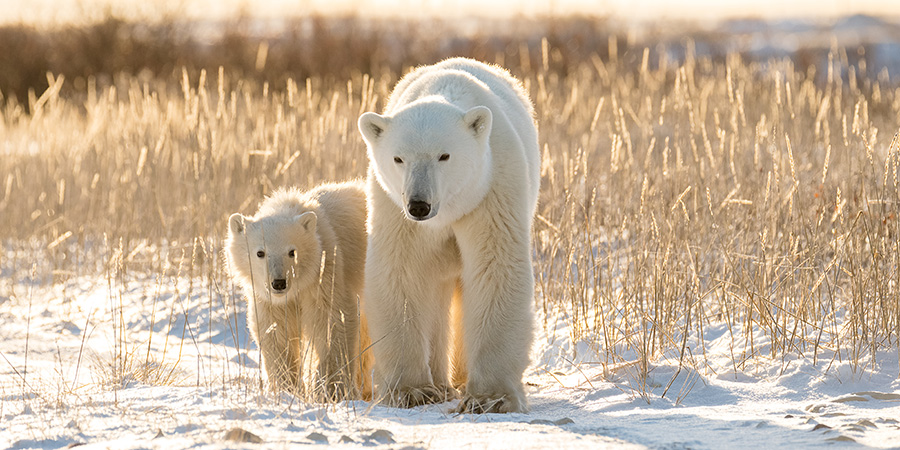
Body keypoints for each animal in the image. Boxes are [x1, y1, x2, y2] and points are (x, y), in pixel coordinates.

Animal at [358, 58, 540, 414]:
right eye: (398, 158)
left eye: (444, 155)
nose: (419, 204)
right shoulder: (394, 208)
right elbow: (402, 271)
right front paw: (411, 391)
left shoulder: (490, 192)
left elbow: (495, 269)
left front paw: (490, 398)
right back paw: (441, 384)